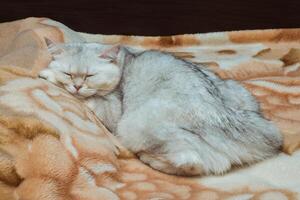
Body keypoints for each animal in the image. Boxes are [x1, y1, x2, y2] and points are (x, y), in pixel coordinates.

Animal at [38, 39, 282, 177]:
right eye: (69, 73)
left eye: (90, 75)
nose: (77, 86)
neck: (124, 59)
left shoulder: (112, 110)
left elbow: (89, 99)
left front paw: (48, 75)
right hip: (239, 92)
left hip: (135, 124)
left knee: (191, 162)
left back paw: (149, 159)